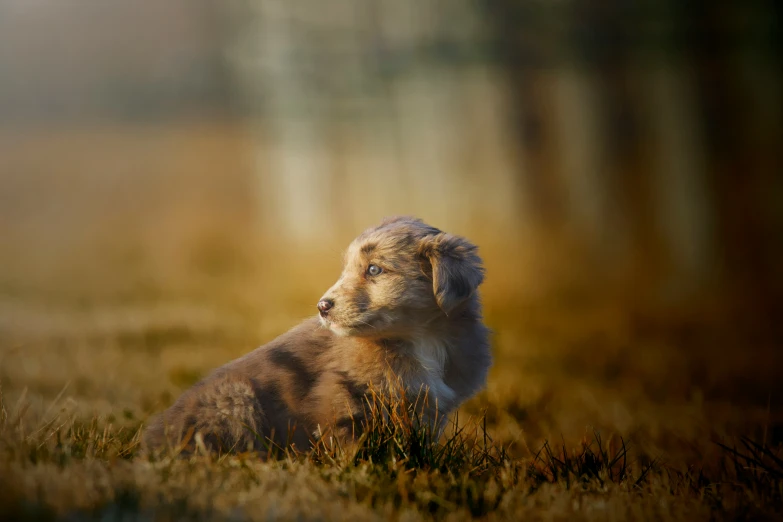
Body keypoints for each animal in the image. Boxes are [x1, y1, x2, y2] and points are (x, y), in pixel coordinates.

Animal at [142, 215, 490, 450]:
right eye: (346, 269)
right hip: (236, 398)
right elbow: (350, 441)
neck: (421, 339)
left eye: (374, 269)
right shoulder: (339, 393)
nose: (322, 306)